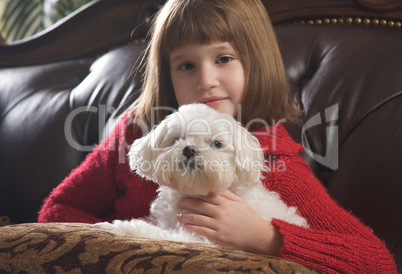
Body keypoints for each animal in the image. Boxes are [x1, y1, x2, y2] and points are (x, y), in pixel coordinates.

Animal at [93, 104, 308, 243]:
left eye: (216, 144)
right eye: (176, 140)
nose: (189, 149)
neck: (194, 192)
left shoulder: (199, 236)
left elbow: (151, 231)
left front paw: (114, 226)